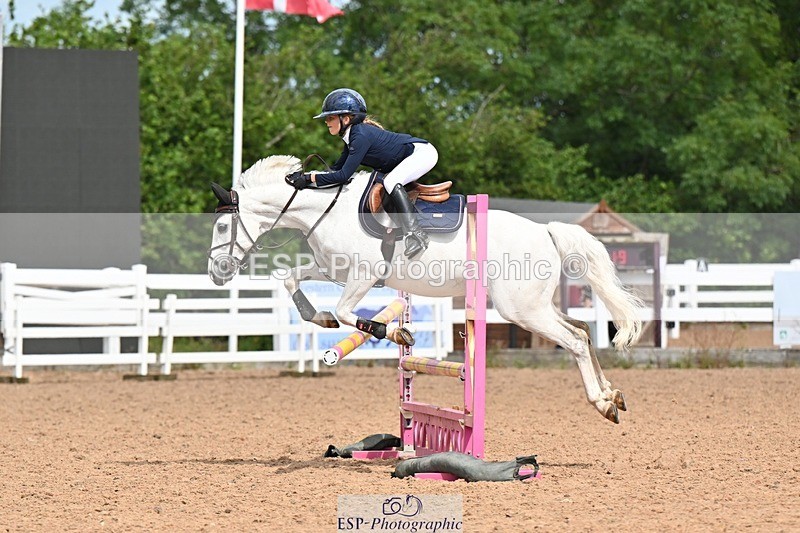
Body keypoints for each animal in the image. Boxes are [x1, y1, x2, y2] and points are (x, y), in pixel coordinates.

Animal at [207, 155, 643, 423]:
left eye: (223, 226)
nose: (217, 272)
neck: (323, 211)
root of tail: (546, 231)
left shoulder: (364, 275)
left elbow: (350, 313)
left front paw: (395, 332)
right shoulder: (333, 269)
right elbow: (293, 280)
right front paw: (321, 318)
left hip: (520, 309)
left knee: (575, 342)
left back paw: (601, 403)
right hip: (533, 305)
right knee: (581, 329)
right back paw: (613, 396)